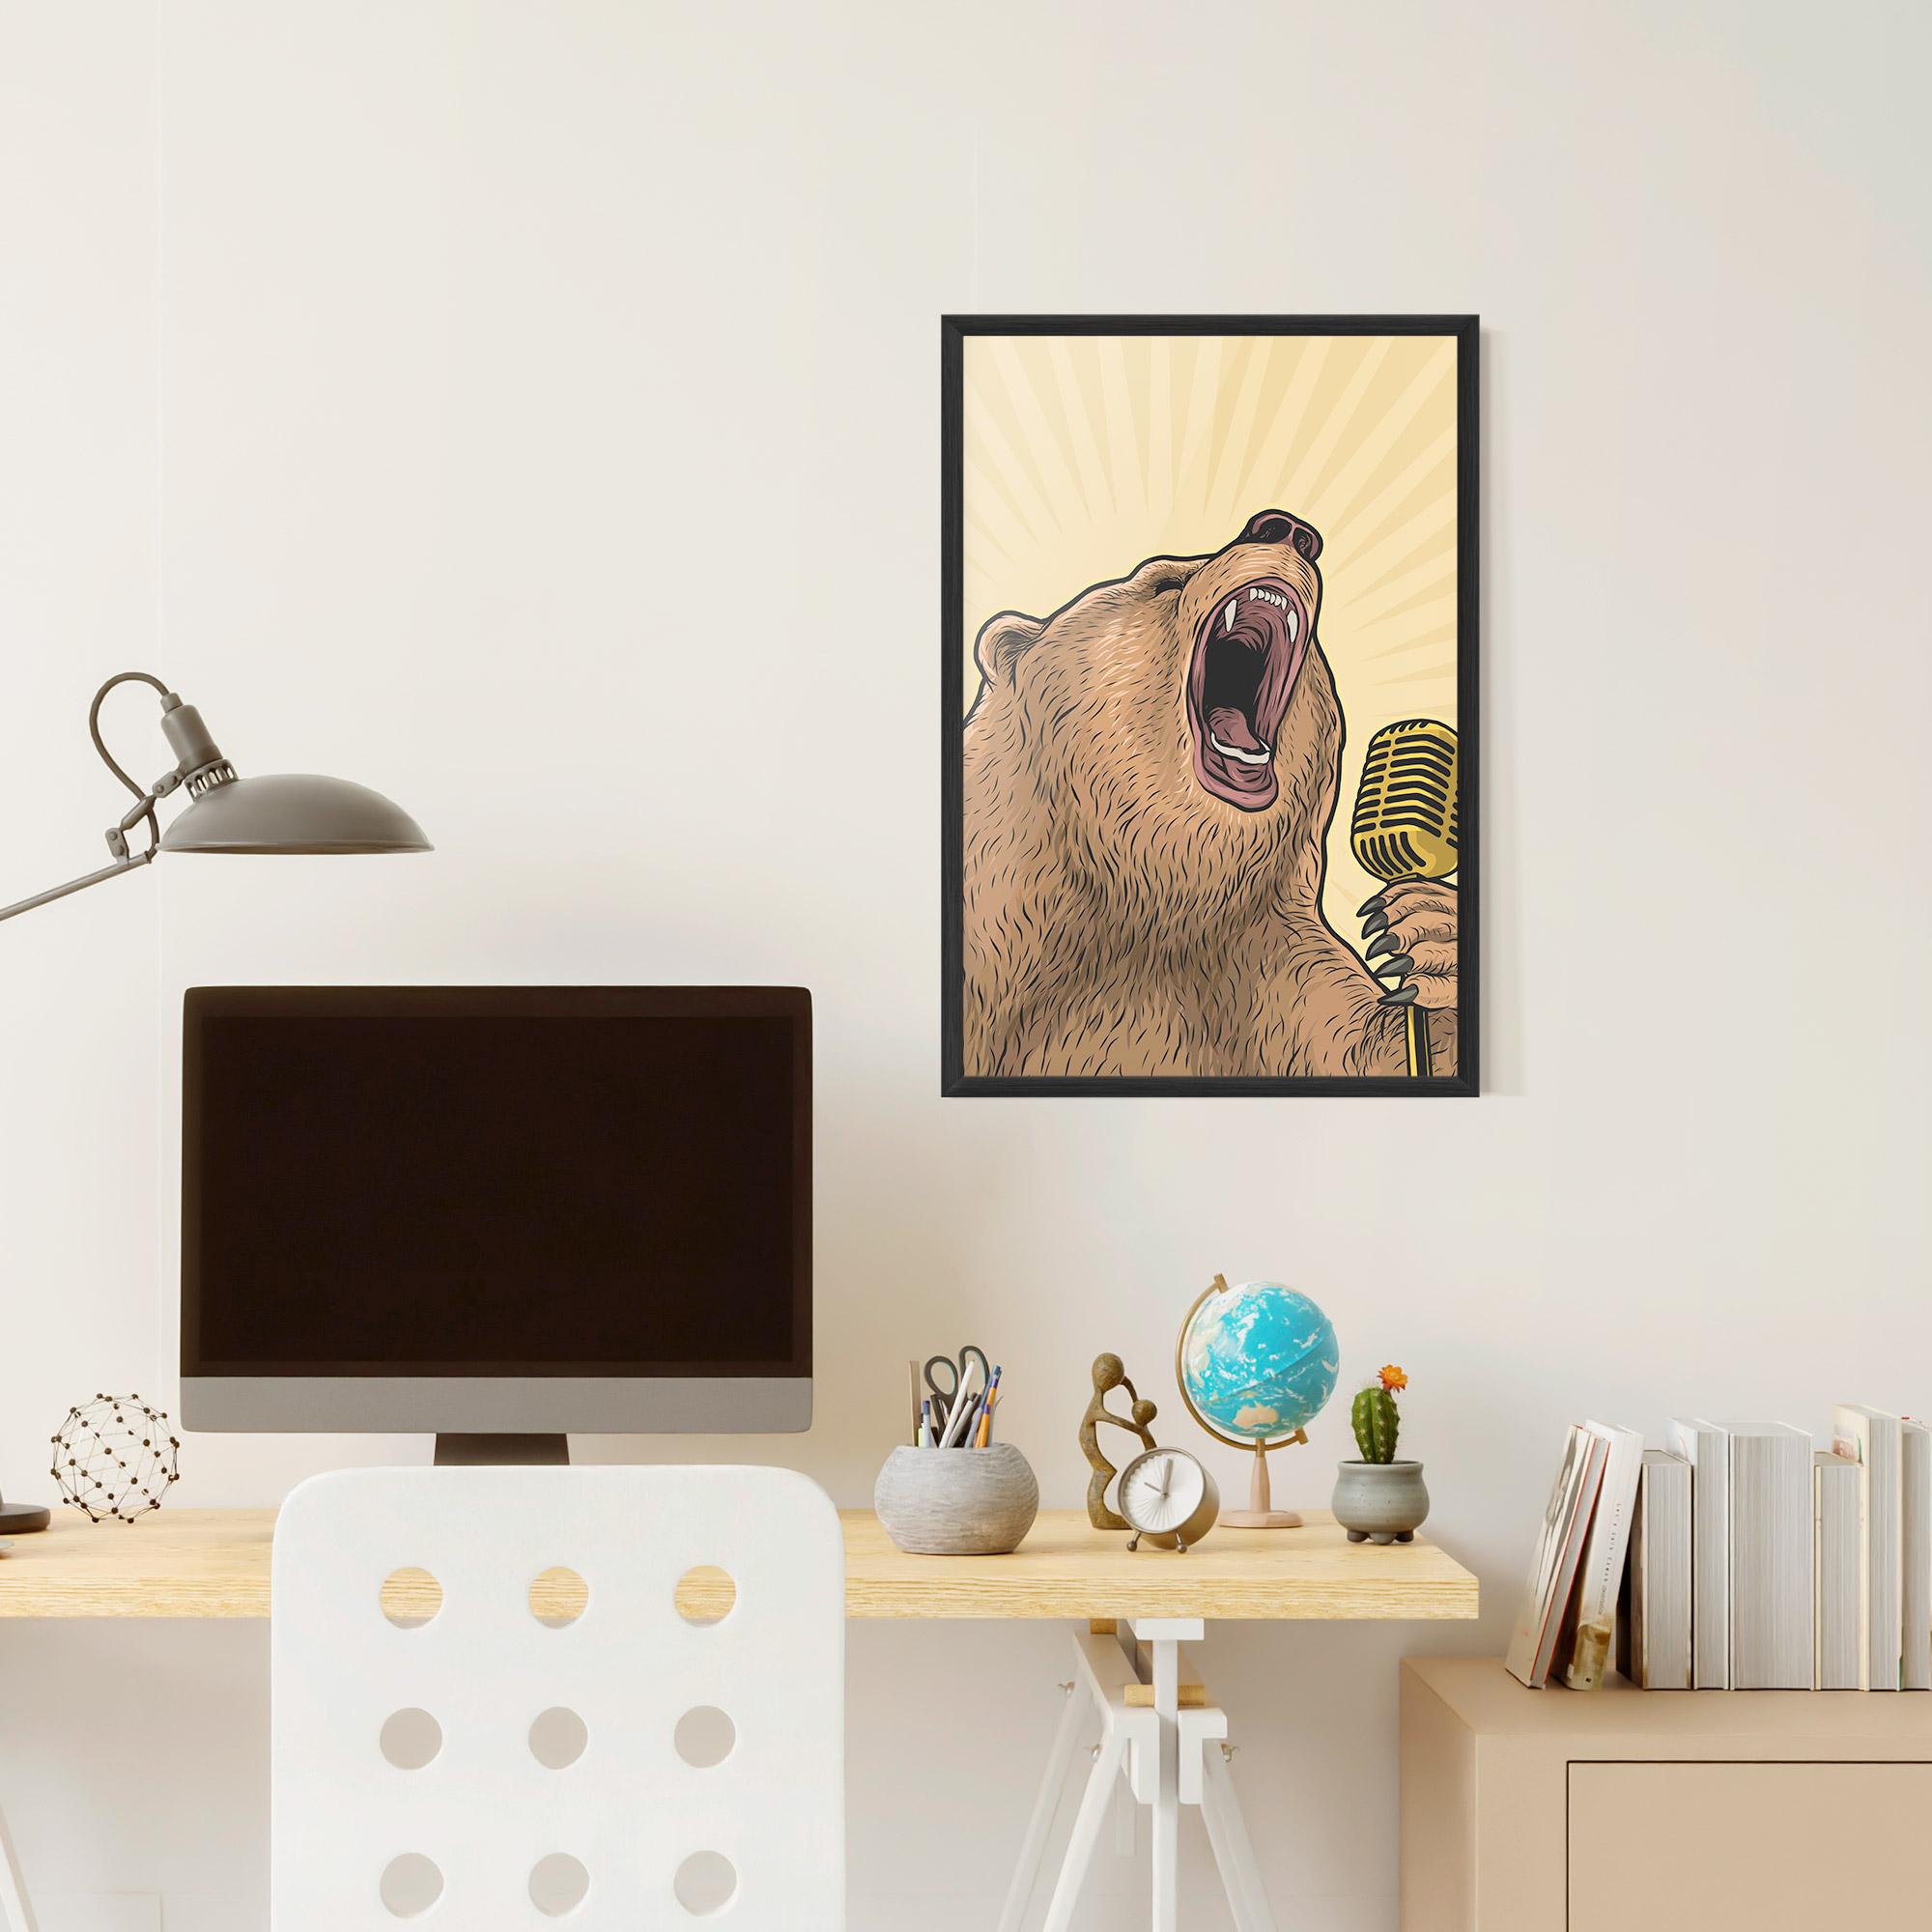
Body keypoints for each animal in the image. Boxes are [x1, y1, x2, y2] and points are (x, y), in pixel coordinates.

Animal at [960, 508, 1458, 1079]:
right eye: (1164, 582)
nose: (1285, 528)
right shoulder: (1002, 930)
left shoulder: (1262, 956)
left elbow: (1363, 1042)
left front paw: (1426, 933)